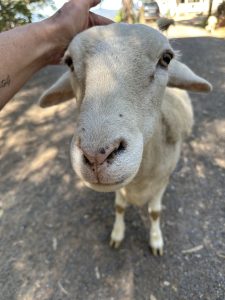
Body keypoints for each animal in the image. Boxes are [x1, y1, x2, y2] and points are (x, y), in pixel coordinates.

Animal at [37, 23, 212, 255]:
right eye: (69, 62)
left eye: (166, 58)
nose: (96, 156)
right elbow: (119, 206)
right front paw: (117, 234)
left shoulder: (162, 180)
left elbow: (155, 212)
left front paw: (156, 240)